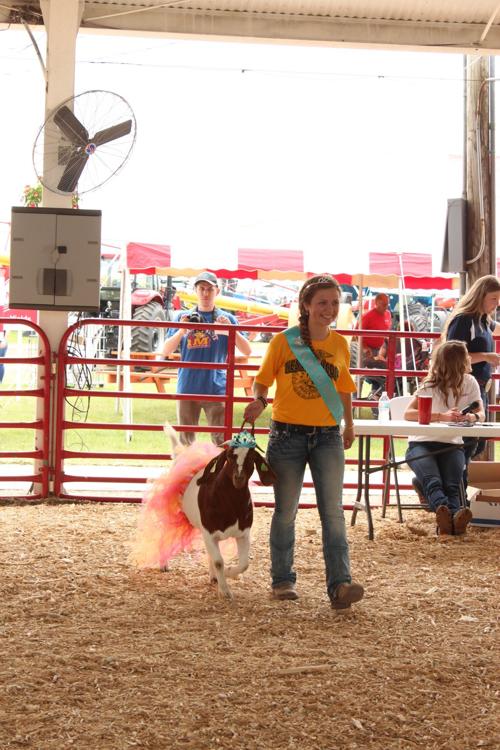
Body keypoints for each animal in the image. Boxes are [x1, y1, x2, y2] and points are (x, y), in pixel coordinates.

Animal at [170, 428, 276, 600]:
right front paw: (224, 590)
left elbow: (244, 564)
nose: (239, 478)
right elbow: (219, 561)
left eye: (251, 457)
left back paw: (214, 577)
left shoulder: (243, 533)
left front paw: (228, 573)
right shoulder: (209, 533)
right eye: (229, 456)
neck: (231, 506)